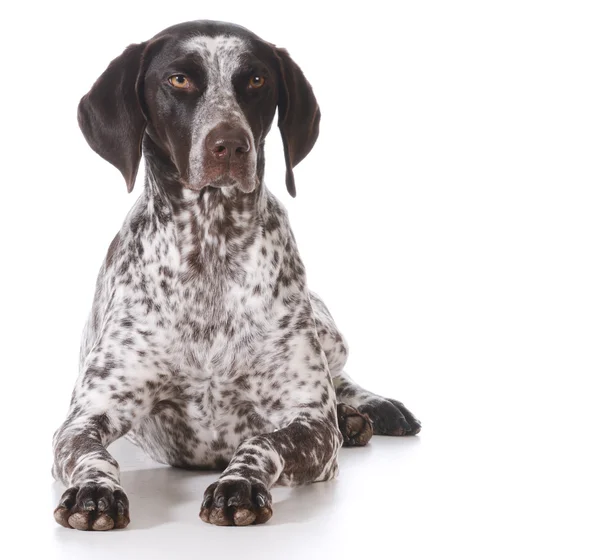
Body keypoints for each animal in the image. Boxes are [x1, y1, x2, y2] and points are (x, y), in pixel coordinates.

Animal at [52, 20, 422, 528]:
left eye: (256, 79)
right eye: (179, 80)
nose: (229, 144)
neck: (211, 245)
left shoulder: (310, 422)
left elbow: (263, 440)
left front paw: (239, 484)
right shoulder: (88, 414)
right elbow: (91, 454)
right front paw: (95, 491)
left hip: (328, 331)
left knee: (340, 376)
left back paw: (366, 409)